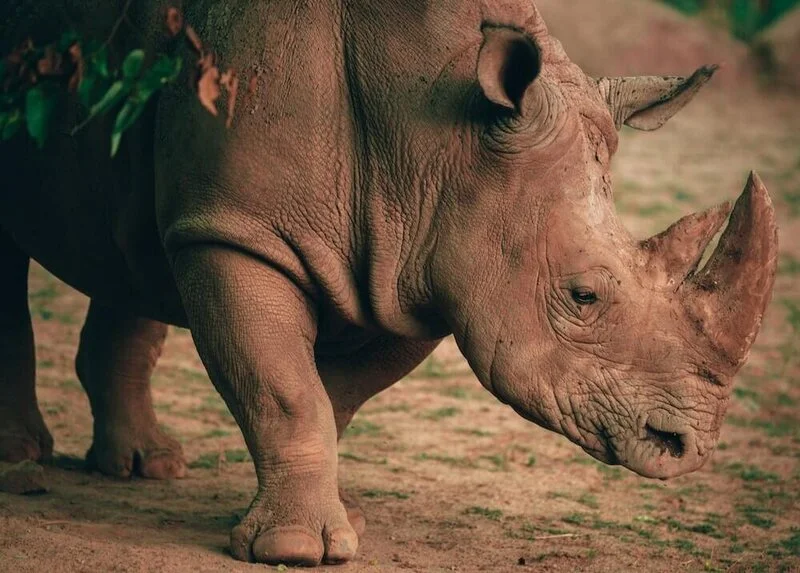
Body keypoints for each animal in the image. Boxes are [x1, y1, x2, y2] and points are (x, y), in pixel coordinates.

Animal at [0, 0, 778, 566]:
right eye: (583, 296)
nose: (685, 449)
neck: (441, 137)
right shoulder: (239, 232)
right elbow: (285, 388)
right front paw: (294, 550)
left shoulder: (419, 265)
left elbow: (332, 397)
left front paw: (337, 522)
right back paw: (21, 466)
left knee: (139, 227)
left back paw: (148, 467)